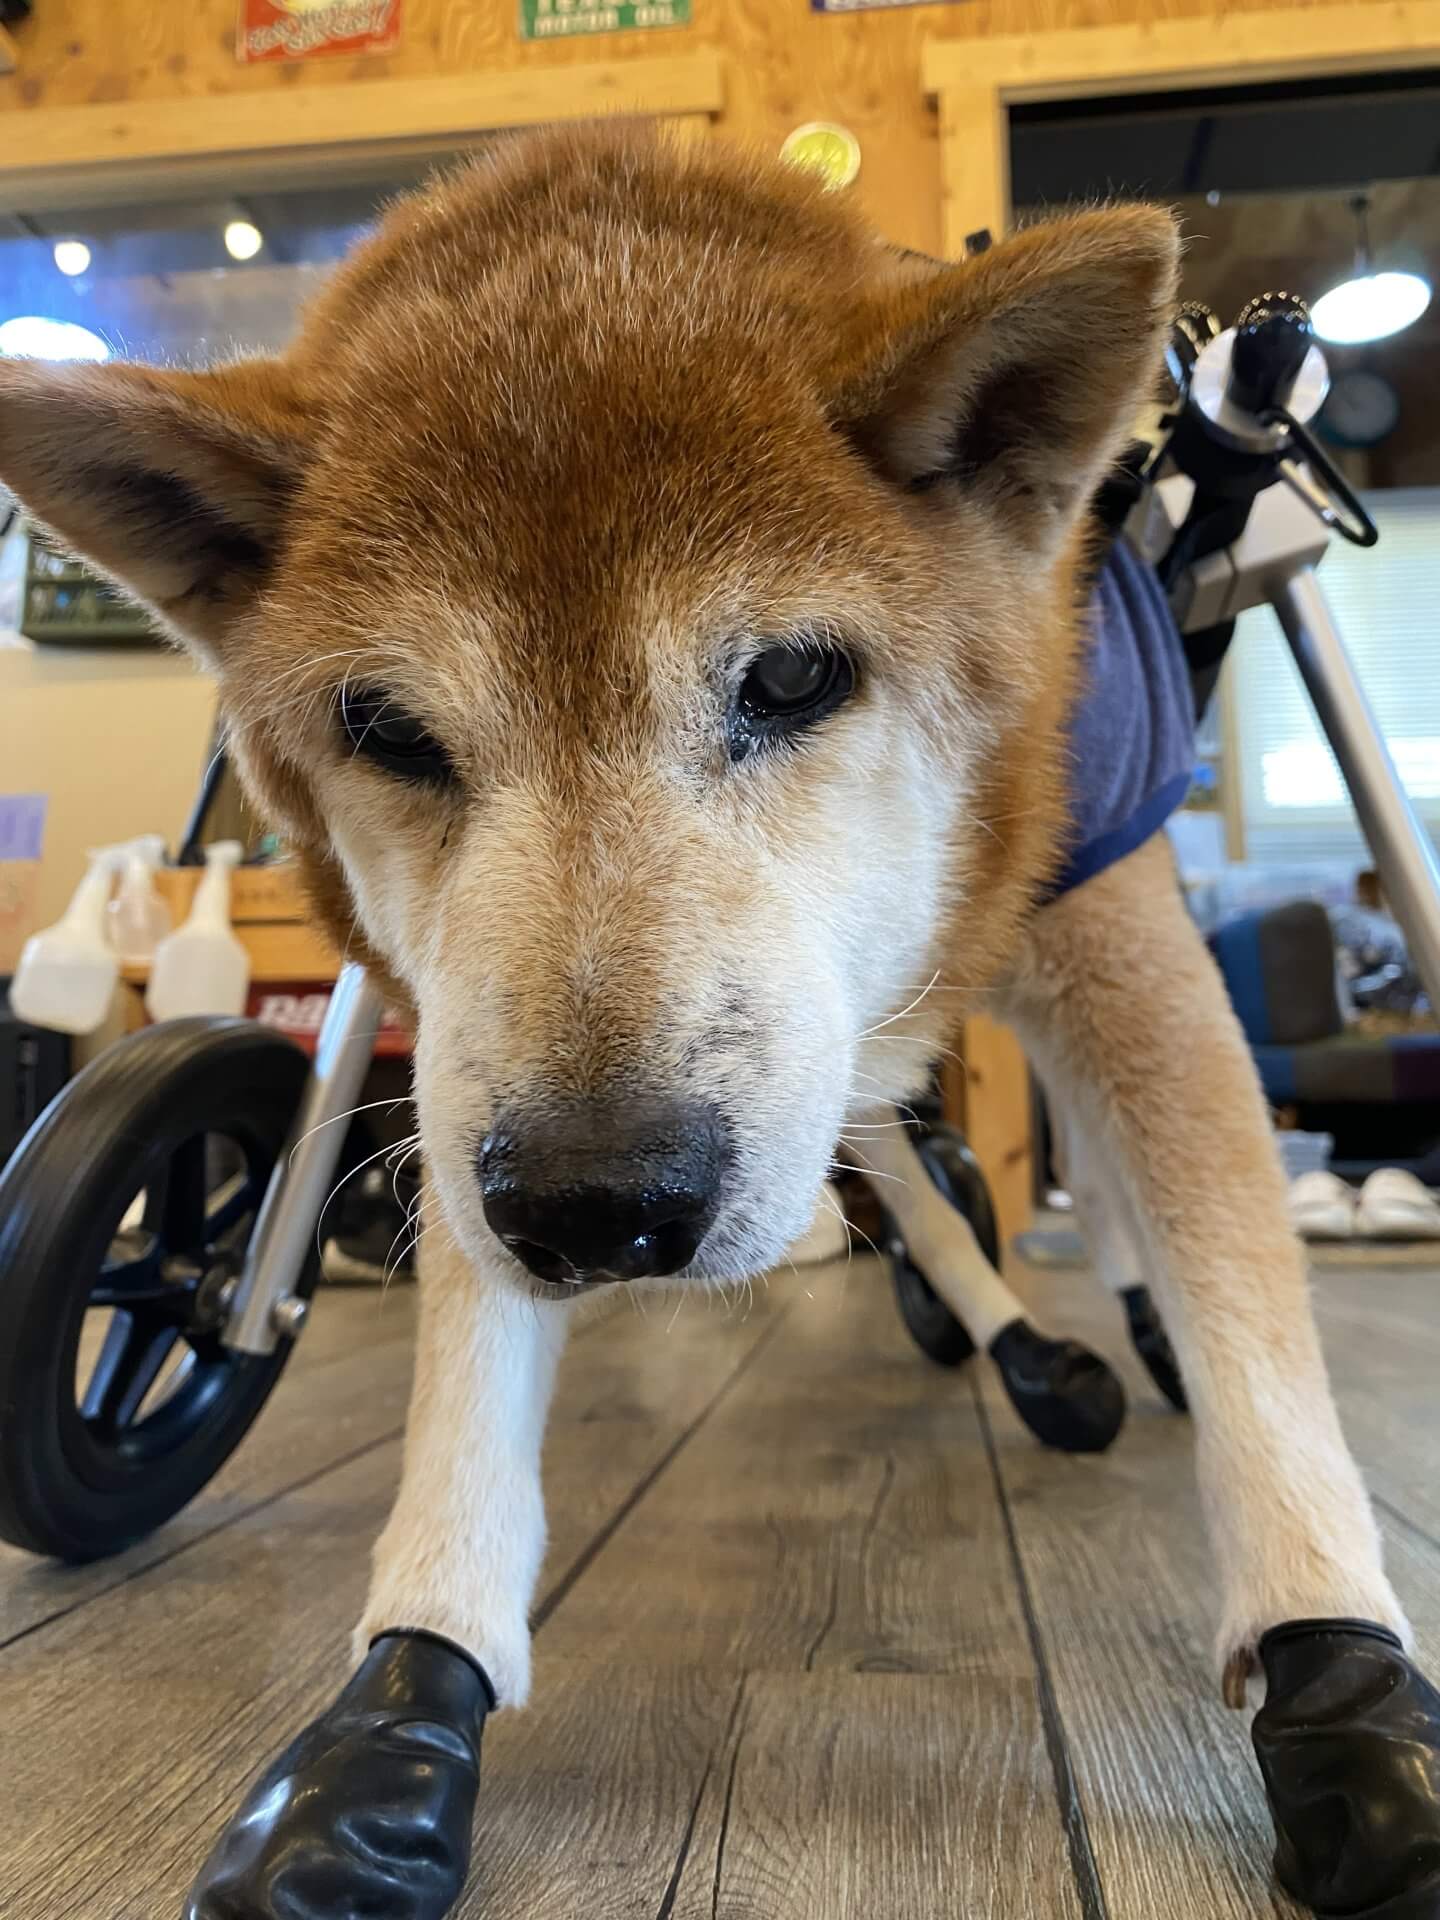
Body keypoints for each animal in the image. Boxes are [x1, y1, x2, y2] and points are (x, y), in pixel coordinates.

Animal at [5, 120, 1436, 1920]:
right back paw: (1014, 1333)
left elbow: (1249, 1316)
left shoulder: (1109, 925)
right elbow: (465, 1387)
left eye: (796, 680)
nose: (593, 1206)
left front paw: (1343, 1665)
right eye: (387, 728)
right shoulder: (452, 1055)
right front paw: (402, 1697)